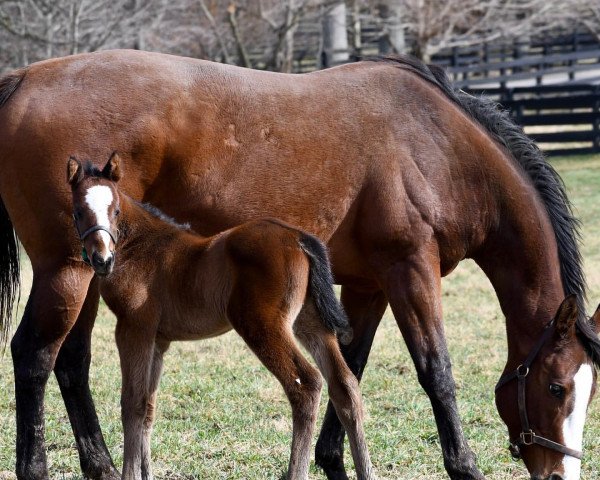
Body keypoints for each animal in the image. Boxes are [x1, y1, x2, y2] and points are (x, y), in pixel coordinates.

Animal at [67, 154, 376, 480]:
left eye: (115, 210)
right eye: (78, 212)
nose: (102, 260)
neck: (140, 247)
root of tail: (298, 237)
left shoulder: (133, 328)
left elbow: (132, 403)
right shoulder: (158, 341)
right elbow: (148, 407)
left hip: (261, 325)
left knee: (306, 385)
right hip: (311, 322)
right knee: (344, 385)